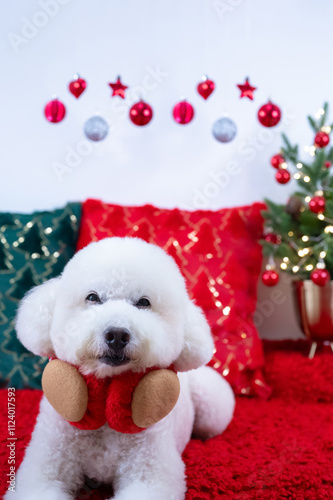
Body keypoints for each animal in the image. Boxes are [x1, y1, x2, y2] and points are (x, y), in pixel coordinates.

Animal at [5, 236, 233, 498]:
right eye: (92, 297)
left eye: (143, 302)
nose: (116, 335)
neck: (105, 406)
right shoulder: (45, 468)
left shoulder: (150, 476)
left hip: (211, 405)